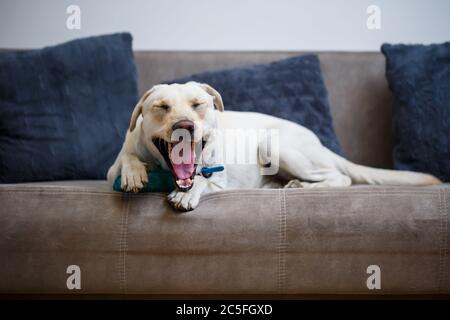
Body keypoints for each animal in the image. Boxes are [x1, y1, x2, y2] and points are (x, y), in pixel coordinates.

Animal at [107, 82, 442, 210]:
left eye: (198, 104)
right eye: (162, 107)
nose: (185, 126)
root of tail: (319, 142)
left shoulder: (218, 177)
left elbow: (203, 181)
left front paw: (188, 194)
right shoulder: (116, 163)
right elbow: (126, 158)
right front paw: (134, 171)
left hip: (275, 146)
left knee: (340, 177)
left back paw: (301, 186)